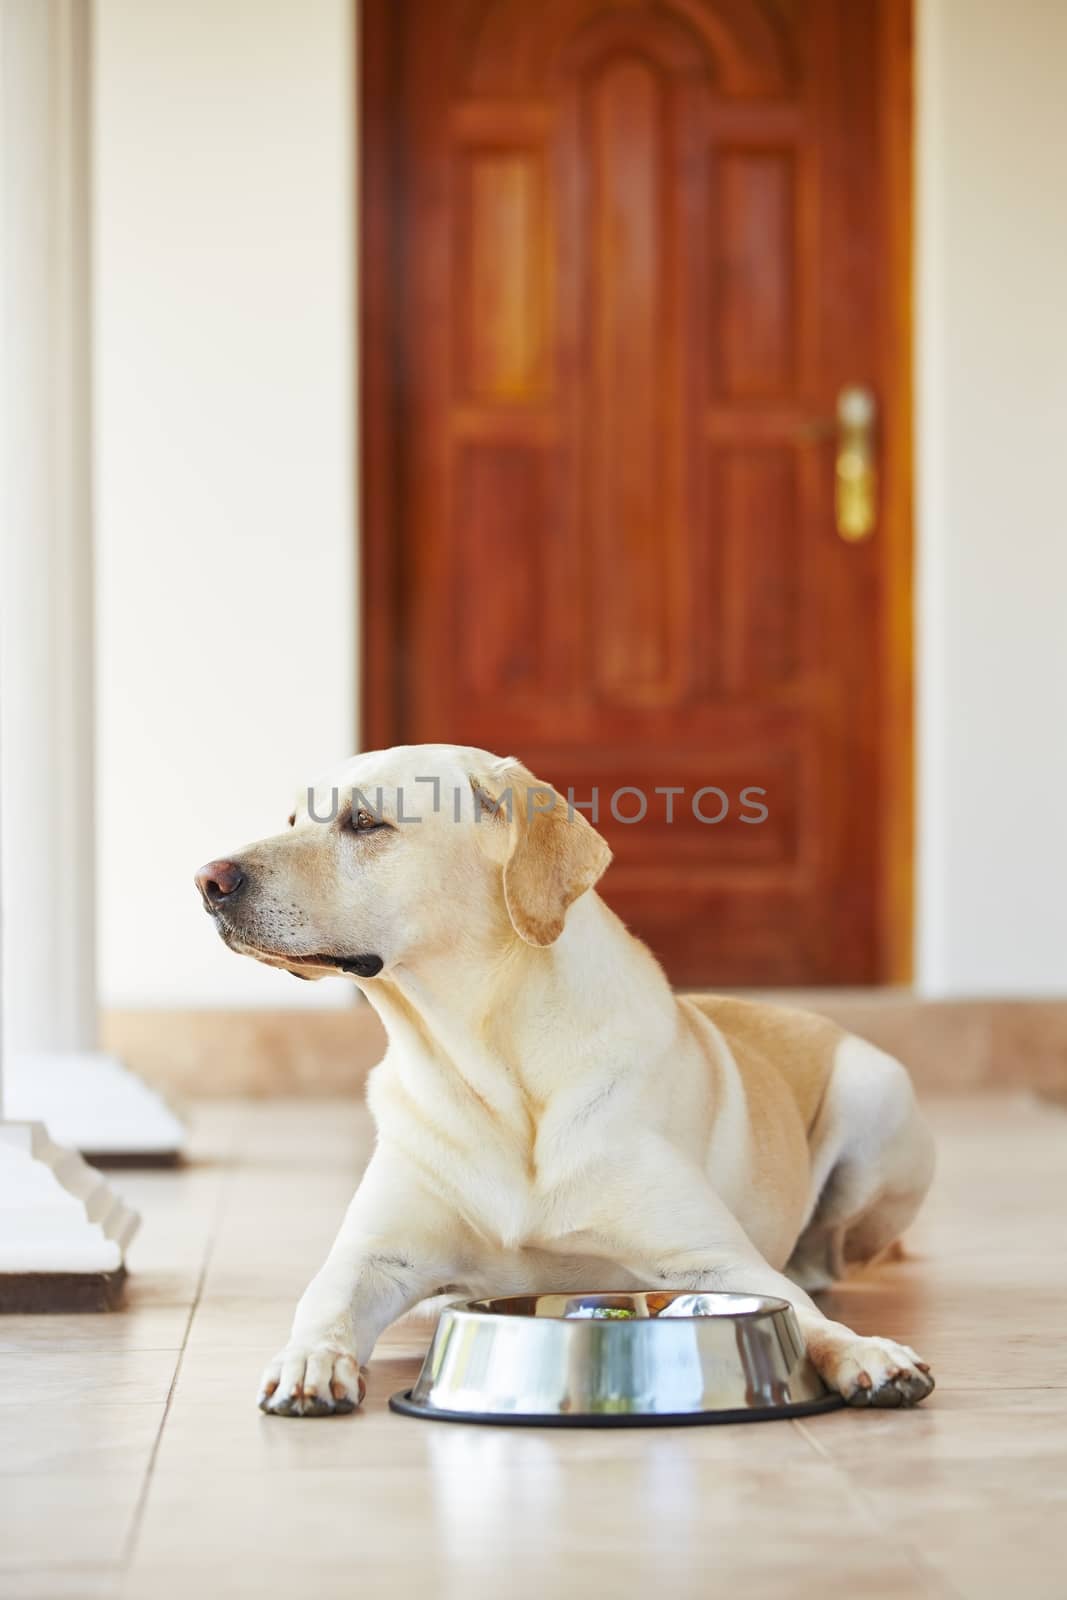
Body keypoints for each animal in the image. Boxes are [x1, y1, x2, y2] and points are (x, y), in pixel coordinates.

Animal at [198, 742, 934, 1420]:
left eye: (363, 822)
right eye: (293, 817)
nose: (208, 880)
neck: (491, 1069)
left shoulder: (715, 1259)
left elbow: (803, 1315)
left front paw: (866, 1351)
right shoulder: (376, 1257)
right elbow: (324, 1301)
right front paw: (309, 1360)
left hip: (878, 1095)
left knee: (826, 1259)